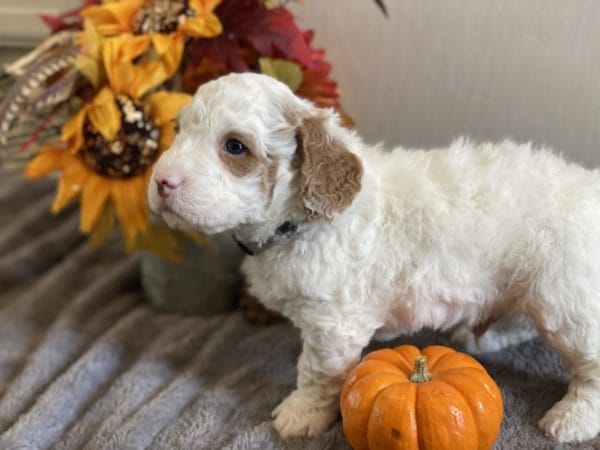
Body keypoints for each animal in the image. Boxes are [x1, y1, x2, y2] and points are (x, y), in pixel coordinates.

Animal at [149, 73, 600, 442]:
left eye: (235, 146)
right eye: (178, 131)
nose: (161, 182)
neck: (302, 222)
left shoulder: (332, 327)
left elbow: (316, 374)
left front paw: (301, 414)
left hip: (566, 298)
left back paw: (573, 418)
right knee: (522, 319)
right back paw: (483, 337)